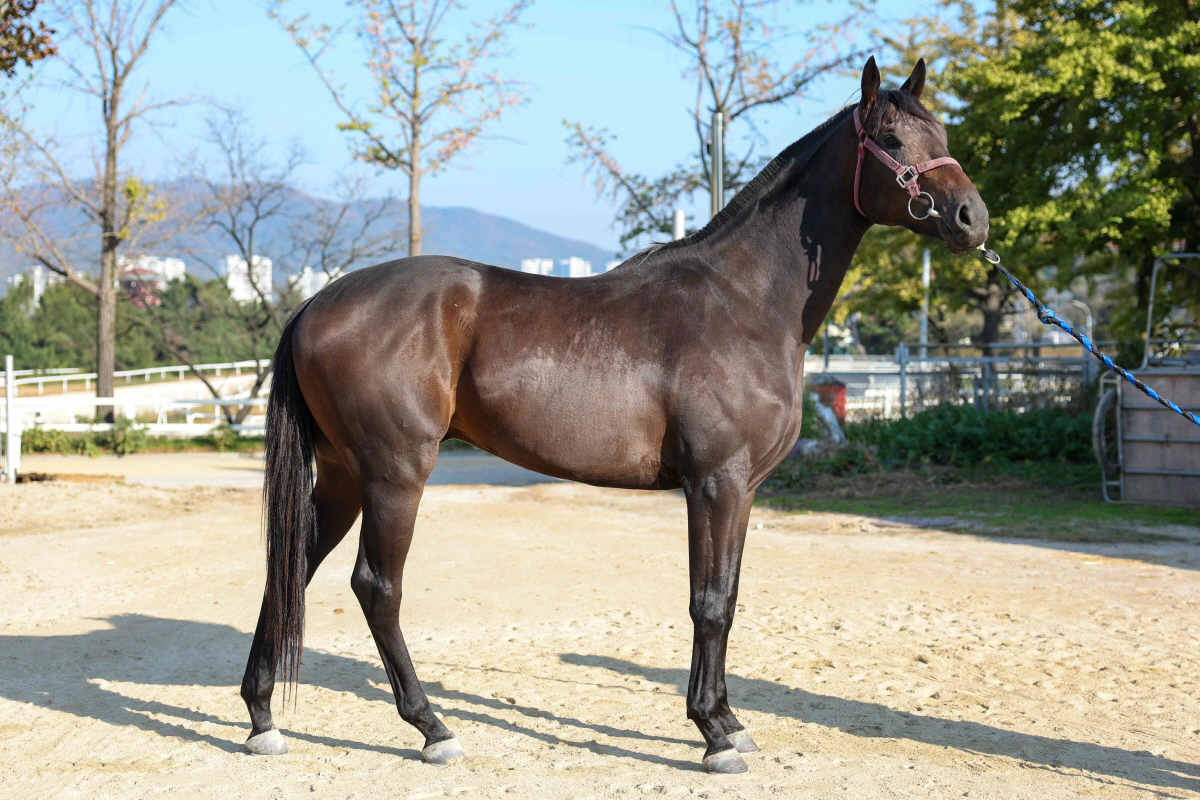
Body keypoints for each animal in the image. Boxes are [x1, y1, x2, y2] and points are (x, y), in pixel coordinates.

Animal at [240, 56, 989, 774]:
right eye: (892, 139)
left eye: (942, 136)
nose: (971, 219)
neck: (742, 302)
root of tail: (317, 302)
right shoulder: (714, 483)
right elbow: (707, 603)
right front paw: (712, 734)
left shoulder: (742, 490)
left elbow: (727, 598)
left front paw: (729, 721)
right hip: (394, 474)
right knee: (377, 587)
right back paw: (432, 729)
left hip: (343, 475)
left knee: (292, 567)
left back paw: (262, 718)